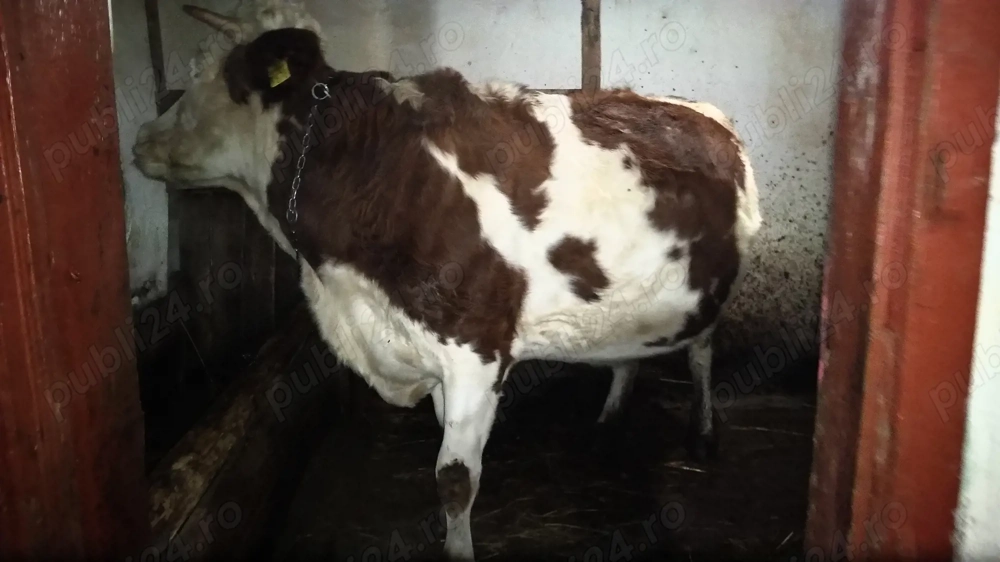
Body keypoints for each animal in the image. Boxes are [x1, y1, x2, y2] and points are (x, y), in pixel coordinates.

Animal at [132, 3, 762, 560]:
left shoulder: (476, 349)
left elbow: (455, 480)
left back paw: (703, 434)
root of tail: (700, 111)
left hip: (706, 291)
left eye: (213, 75)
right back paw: (609, 418)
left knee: (702, 354)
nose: (140, 138)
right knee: (627, 354)